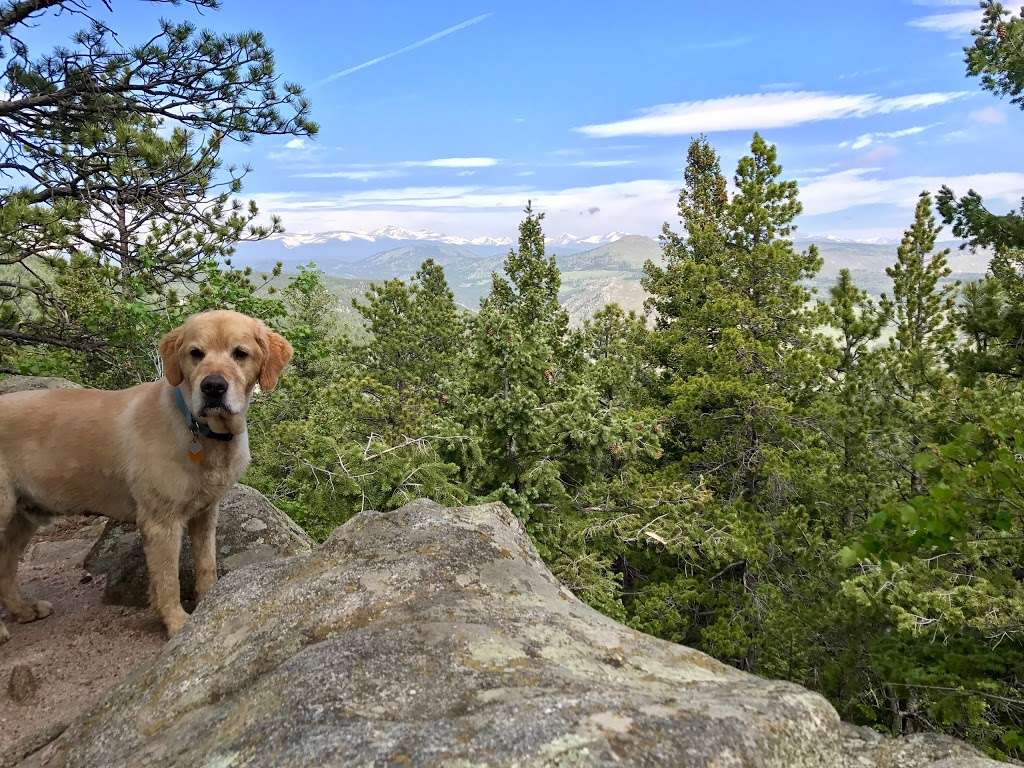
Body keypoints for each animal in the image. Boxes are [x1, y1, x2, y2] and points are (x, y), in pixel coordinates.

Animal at [1, 309, 296, 638]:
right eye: (195, 353)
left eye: (240, 353)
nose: (213, 387)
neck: (200, 429)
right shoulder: (160, 521)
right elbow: (167, 580)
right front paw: (178, 623)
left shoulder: (205, 513)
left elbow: (206, 564)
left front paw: (210, 604)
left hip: (21, 519)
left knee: (5, 568)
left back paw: (22, 609)